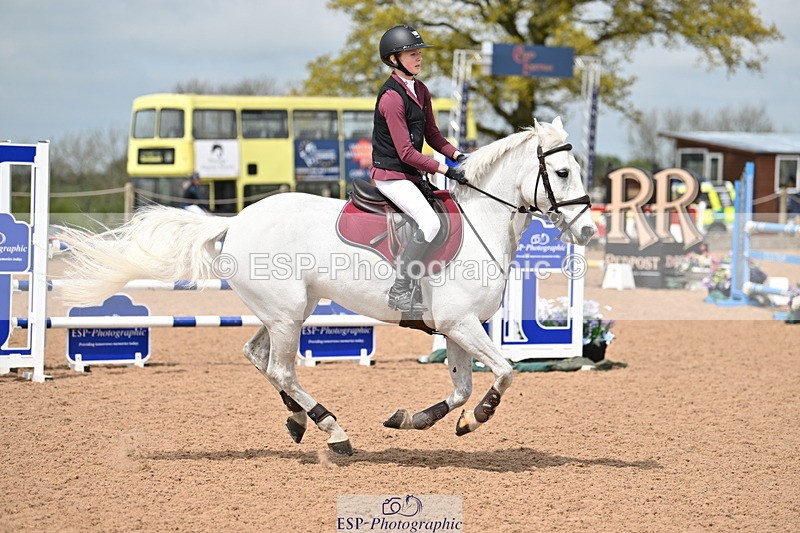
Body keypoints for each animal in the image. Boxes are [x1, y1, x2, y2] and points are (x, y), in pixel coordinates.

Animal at [58, 117, 597, 456]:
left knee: (259, 358)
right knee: (281, 369)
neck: (483, 219)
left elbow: (462, 387)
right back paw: (333, 431)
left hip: (286, 310)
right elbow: (505, 372)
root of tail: (235, 220)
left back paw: (299, 419)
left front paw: (417, 420)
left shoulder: (458, 328)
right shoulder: (460, 323)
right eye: (562, 171)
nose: (589, 232)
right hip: (287, 313)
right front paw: (477, 418)